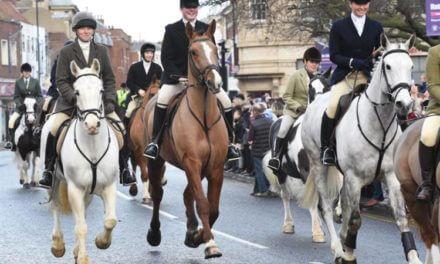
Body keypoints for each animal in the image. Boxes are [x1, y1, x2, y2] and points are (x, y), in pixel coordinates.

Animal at [144, 19, 227, 258]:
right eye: (193, 52)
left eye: (215, 49)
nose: (216, 82)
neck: (204, 115)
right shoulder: (191, 162)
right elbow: (203, 204)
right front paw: (209, 243)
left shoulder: (215, 167)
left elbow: (213, 208)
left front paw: (197, 237)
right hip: (157, 161)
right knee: (158, 194)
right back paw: (154, 234)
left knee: (186, 195)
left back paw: (191, 230)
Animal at [262, 70, 342, 243]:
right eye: (310, 87)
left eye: (328, 85)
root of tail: (277, 119)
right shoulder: (307, 172)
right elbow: (314, 202)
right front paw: (317, 232)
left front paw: (337, 213)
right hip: (281, 173)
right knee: (285, 196)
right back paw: (288, 225)